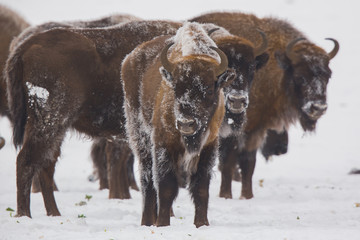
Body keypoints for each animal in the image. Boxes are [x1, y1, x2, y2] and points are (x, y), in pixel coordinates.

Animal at [5, 19, 184, 218]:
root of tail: (25, 46)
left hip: (57, 128)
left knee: (46, 165)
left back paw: (54, 213)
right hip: (49, 121)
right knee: (26, 161)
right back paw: (24, 214)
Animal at [121, 22, 238, 227]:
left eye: (209, 89)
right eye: (175, 87)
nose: (186, 123)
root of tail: (129, 59)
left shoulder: (208, 147)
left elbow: (201, 188)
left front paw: (201, 224)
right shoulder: (163, 145)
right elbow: (166, 187)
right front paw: (162, 224)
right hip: (140, 137)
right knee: (147, 180)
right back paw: (147, 222)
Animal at [190, 11, 338, 199]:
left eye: (328, 75)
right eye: (300, 77)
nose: (318, 108)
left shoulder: (256, 130)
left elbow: (248, 164)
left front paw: (247, 196)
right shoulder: (233, 133)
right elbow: (228, 162)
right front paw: (226, 195)